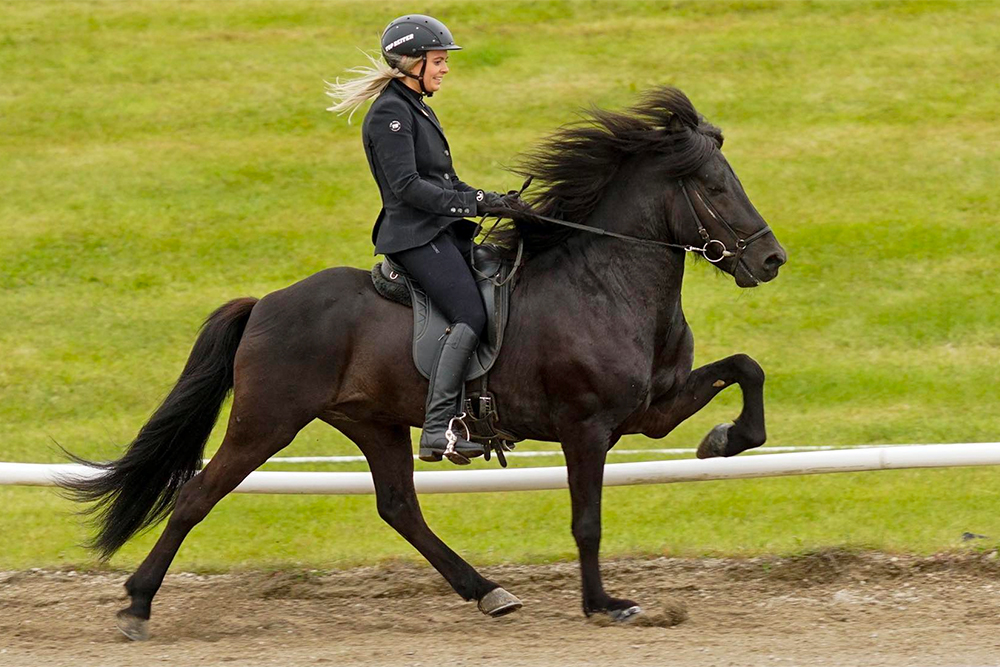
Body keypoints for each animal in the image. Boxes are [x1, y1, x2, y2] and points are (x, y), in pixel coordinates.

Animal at [62, 86, 788, 640]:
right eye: (716, 188)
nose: (772, 259)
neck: (605, 283)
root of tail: (265, 302)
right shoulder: (588, 426)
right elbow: (587, 520)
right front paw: (604, 604)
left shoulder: (651, 410)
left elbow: (746, 367)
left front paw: (724, 440)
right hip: (267, 420)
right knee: (196, 495)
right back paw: (136, 604)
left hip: (371, 421)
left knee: (398, 507)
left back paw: (488, 591)